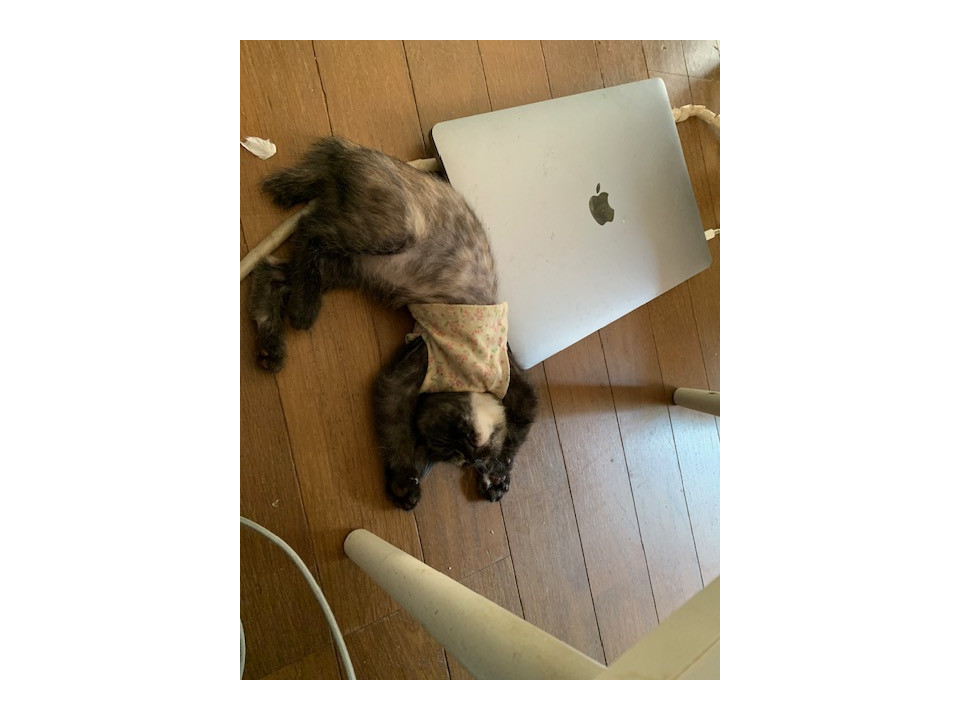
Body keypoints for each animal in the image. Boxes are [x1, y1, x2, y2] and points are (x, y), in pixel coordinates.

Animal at [249, 136, 538, 510]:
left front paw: (494, 476)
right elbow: (396, 430)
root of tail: (354, 153)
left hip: (349, 266)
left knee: (274, 270)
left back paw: (272, 344)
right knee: (310, 231)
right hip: (391, 232)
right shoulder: (411, 373)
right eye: (457, 437)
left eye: (456, 454)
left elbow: (516, 432)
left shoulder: (510, 385)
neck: (469, 378)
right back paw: (304, 309)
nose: (463, 453)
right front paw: (404, 481)